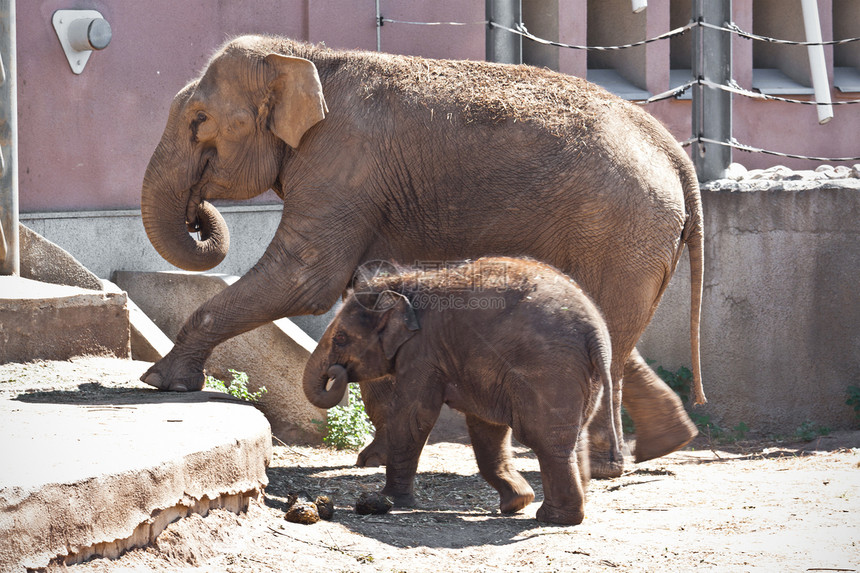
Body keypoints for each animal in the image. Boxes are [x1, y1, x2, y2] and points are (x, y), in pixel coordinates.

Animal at [143, 33, 704, 476]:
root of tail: (675, 154)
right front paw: (373, 459)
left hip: (621, 226)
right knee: (615, 331)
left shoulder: (341, 165)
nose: (198, 215)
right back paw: (665, 443)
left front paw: (161, 383)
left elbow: (305, 280)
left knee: (610, 332)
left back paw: (606, 466)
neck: (306, 58)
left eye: (199, 121)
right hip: (637, 236)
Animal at [304, 256, 620, 524]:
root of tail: (596, 333)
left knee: (545, 438)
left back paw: (554, 519)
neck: (406, 283)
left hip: (549, 368)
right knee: (572, 436)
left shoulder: (422, 350)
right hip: (581, 375)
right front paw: (517, 502)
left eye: (341, 338)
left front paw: (393, 500)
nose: (336, 373)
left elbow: (414, 416)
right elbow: (486, 426)